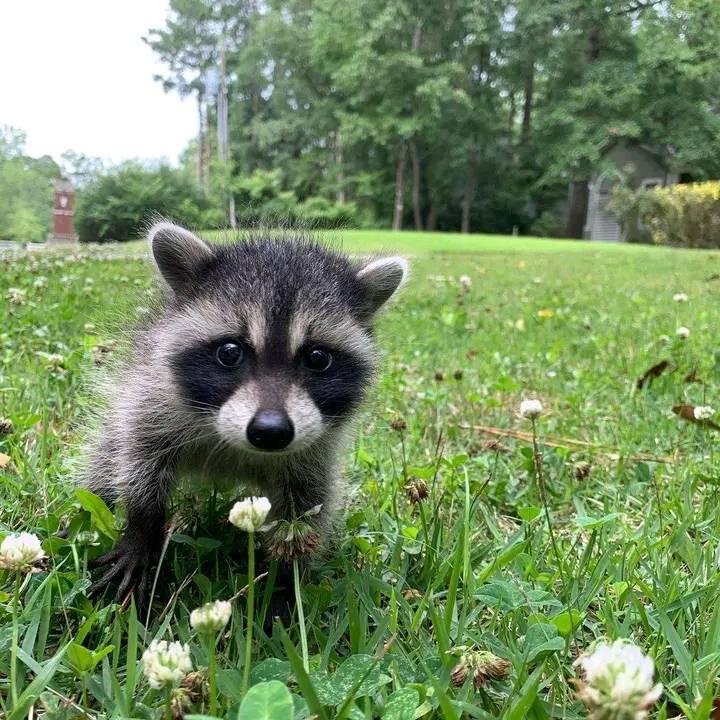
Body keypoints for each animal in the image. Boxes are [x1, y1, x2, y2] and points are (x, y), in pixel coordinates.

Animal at [82, 222, 407, 603]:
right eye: (229, 352)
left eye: (317, 358)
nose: (271, 431)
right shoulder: (152, 399)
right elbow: (140, 462)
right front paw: (142, 530)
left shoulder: (316, 451)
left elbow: (308, 508)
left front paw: (285, 583)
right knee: (105, 460)